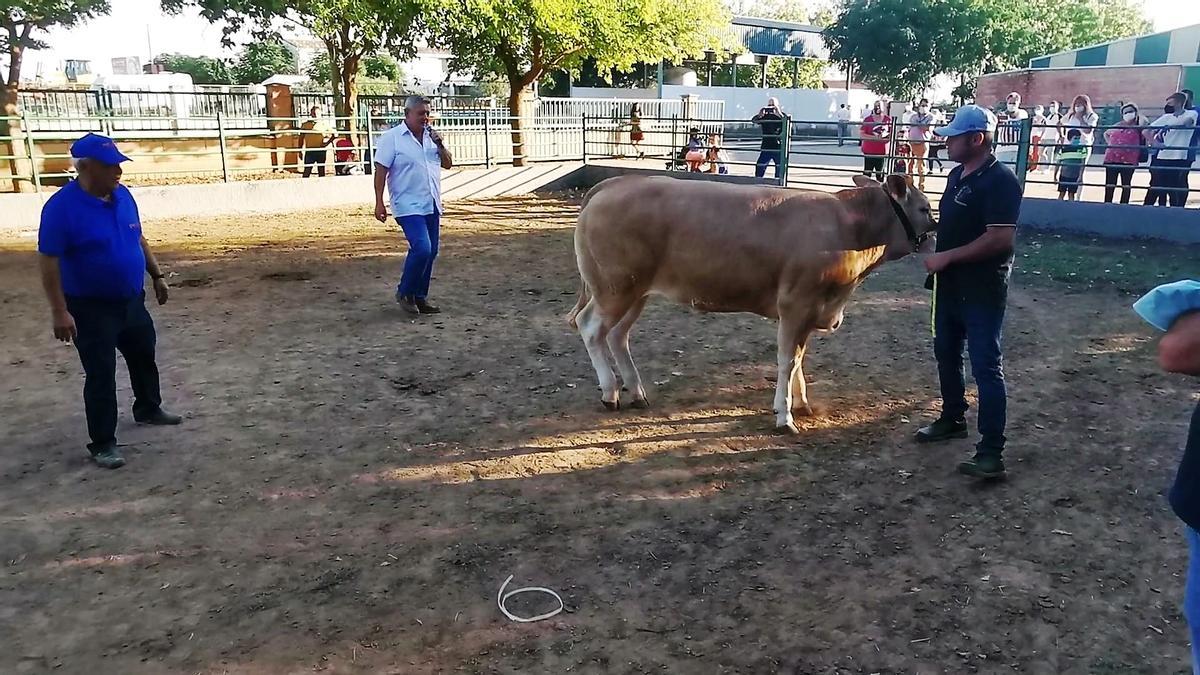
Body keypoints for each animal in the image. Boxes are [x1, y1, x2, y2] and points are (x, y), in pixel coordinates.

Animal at [568, 172, 936, 429]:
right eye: (924, 207)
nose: (936, 238)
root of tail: (614, 183)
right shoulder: (796, 304)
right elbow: (787, 360)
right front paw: (784, 416)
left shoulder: (810, 310)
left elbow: (798, 360)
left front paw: (800, 404)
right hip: (614, 288)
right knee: (591, 328)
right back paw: (610, 392)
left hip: (635, 292)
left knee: (618, 335)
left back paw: (635, 390)